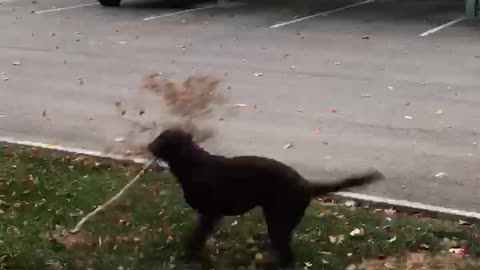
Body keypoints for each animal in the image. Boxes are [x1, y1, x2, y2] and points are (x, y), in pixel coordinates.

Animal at [148, 129, 384, 268]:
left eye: (161, 138)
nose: (148, 146)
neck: (192, 163)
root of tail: (305, 184)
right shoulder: (210, 217)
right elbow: (198, 237)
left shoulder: (209, 215)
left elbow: (196, 238)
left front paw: (190, 257)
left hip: (278, 222)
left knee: (287, 258)